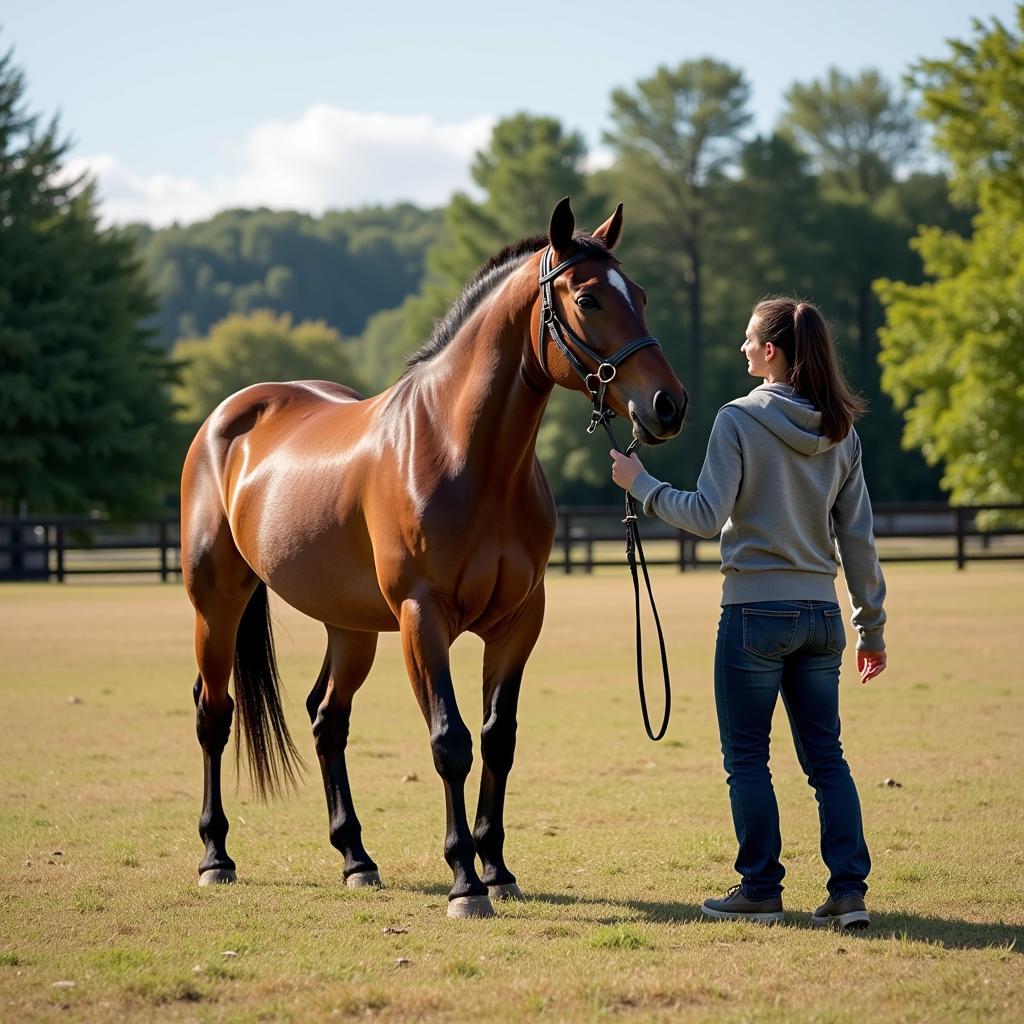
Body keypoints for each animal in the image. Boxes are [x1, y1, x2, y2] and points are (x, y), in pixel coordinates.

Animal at [182, 197, 688, 921]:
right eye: (588, 298)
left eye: (640, 295)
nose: (668, 405)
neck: (459, 452)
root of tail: (229, 416)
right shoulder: (423, 619)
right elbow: (450, 741)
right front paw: (465, 883)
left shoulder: (519, 622)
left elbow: (498, 739)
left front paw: (497, 869)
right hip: (217, 603)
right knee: (213, 713)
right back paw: (216, 855)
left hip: (350, 627)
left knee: (327, 720)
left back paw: (356, 859)